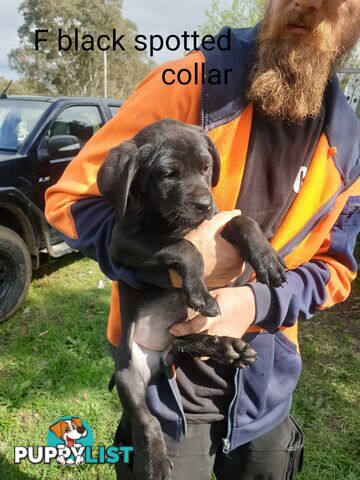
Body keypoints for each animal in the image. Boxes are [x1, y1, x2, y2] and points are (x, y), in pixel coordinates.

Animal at [96, 117, 286, 480]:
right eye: (168, 174)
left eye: (206, 167)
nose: (203, 205)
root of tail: (159, 356)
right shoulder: (123, 244)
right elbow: (186, 248)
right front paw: (199, 292)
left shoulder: (219, 221)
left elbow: (243, 220)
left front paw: (267, 259)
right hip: (129, 376)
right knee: (148, 421)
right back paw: (157, 460)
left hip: (177, 343)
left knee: (187, 344)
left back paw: (229, 348)